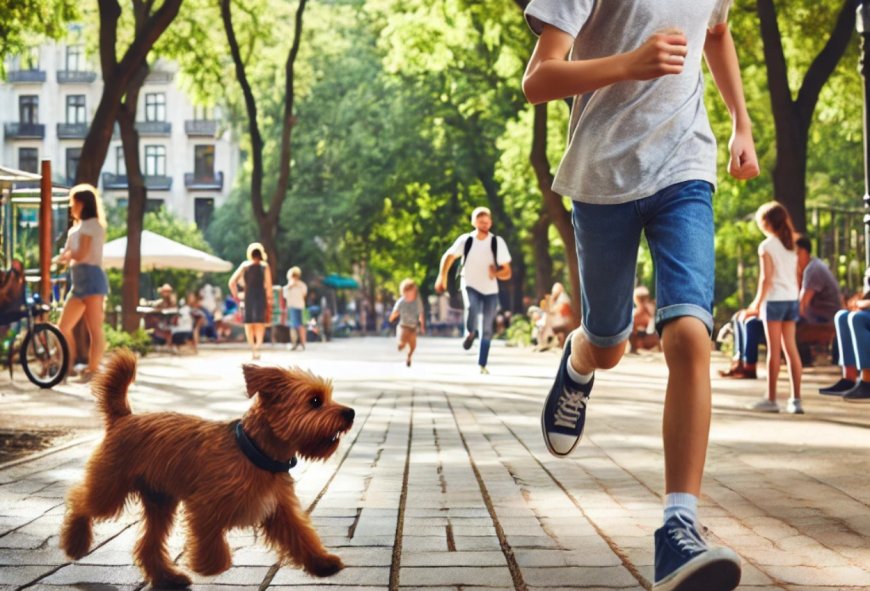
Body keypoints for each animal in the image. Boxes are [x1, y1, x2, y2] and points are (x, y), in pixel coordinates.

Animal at [60, 352, 354, 588]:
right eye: (315, 401)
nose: (350, 413)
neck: (255, 451)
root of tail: (123, 417)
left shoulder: (281, 511)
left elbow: (303, 536)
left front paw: (321, 562)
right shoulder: (204, 507)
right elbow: (211, 542)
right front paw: (209, 566)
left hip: (160, 503)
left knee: (147, 545)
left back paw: (168, 578)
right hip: (109, 491)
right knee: (79, 501)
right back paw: (75, 543)